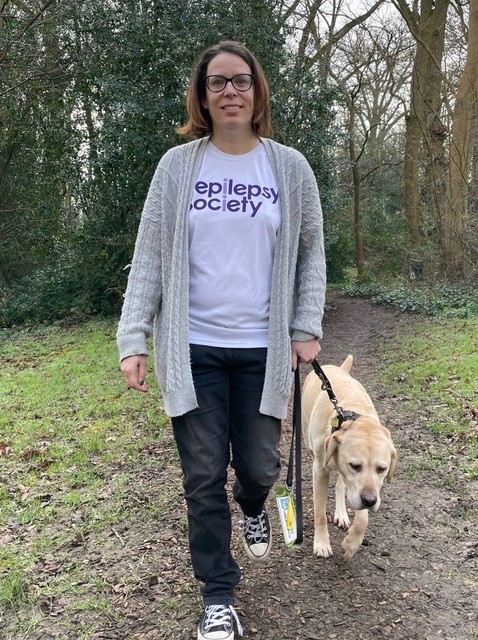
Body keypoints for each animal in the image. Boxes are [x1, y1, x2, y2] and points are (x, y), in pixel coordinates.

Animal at [302, 355, 397, 559]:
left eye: (382, 469)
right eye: (355, 465)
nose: (370, 501)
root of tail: (335, 368)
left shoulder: (362, 488)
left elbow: (362, 520)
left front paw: (352, 543)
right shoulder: (320, 470)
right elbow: (320, 512)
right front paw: (321, 543)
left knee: (340, 486)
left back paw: (342, 514)